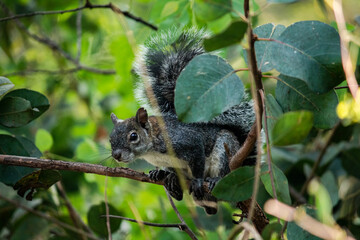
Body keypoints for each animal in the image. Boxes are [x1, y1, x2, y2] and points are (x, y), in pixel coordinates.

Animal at [109, 27, 256, 214]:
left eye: (133, 136)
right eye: (110, 138)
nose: (116, 155)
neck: (152, 150)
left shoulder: (187, 142)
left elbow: (198, 157)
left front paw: (198, 180)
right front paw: (162, 174)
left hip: (226, 150)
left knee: (222, 169)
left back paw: (215, 180)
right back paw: (169, 180)